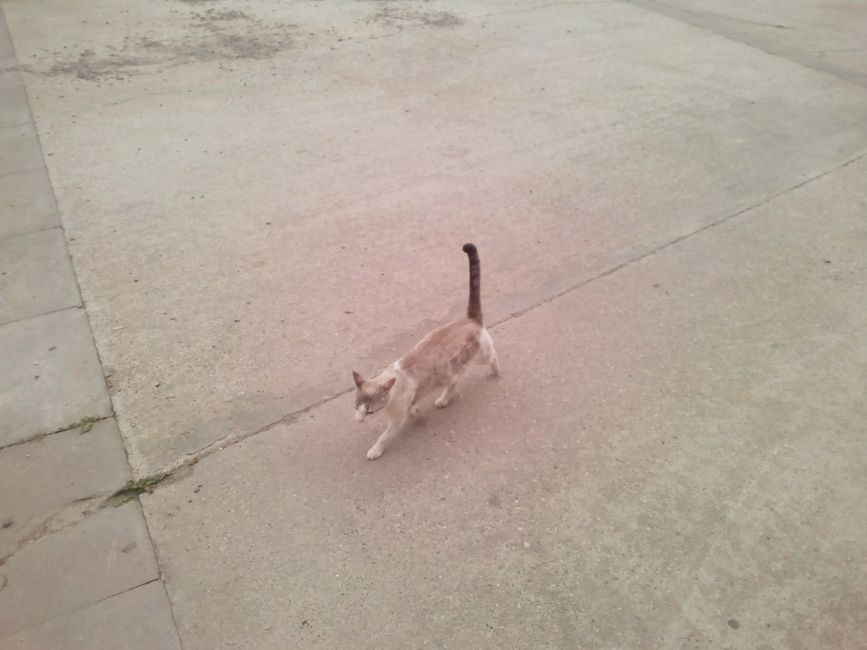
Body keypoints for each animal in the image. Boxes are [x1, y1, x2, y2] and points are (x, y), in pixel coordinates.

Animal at [352, 240, 502, 458]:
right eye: (357, 407)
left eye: (369, 411)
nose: (359, 419)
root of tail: (469, 319)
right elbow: (414, 409)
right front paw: (417, 415)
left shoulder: (396, 421)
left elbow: (384, 437)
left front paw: (375, 451)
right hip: (450, 370)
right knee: (453, 382)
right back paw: (443, 400)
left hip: (482, 355)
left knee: (493, 357)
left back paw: (495, 372)